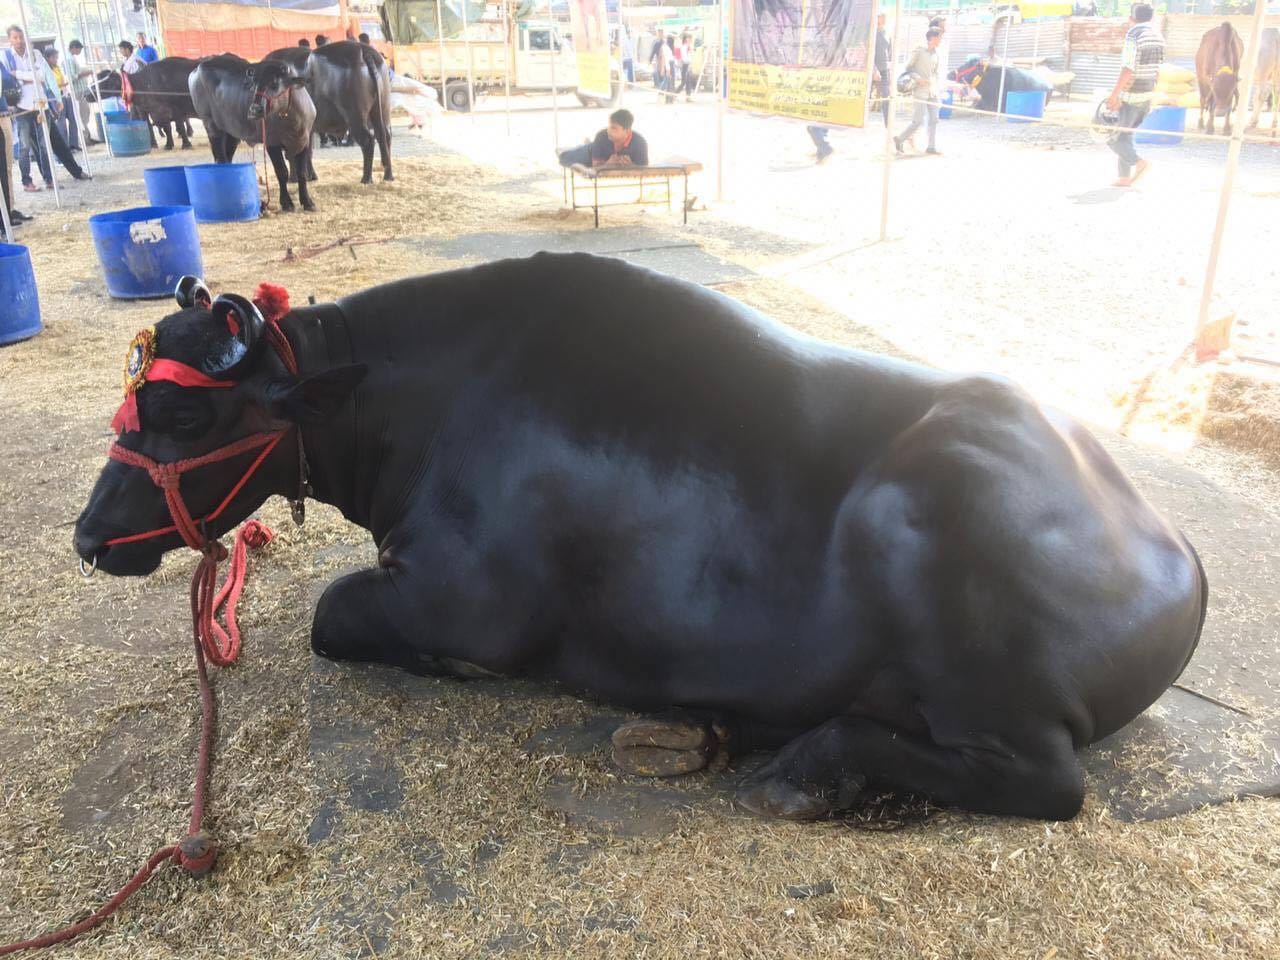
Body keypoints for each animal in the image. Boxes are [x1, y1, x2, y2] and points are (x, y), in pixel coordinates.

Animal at [73, 255, 1207, 822]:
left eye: (186, 415)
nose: (88, 536)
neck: (422, 405)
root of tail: (1167, 545)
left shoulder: (465, 602)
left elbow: (330, 610)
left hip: (968, 620)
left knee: (1047, 783)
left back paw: (804, 766)